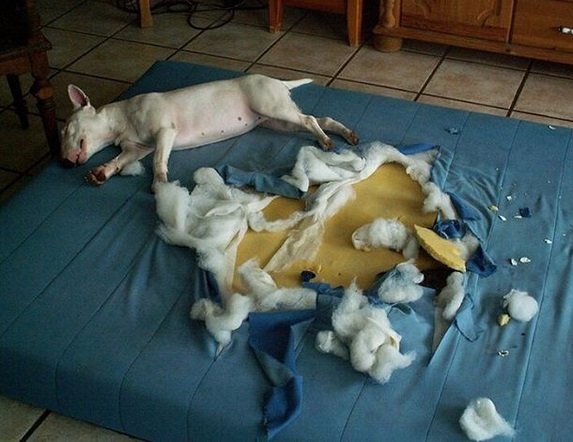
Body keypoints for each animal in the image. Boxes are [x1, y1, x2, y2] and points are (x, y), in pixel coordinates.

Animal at [61, 74, 358, 188]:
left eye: (65, 129)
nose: (63, 164)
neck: (120, 120)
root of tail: (277, 81)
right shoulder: (136, 149)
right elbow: (119, 160)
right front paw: (101, 172)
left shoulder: (164, 132)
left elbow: (158, 159)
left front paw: (159, 183)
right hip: (274, 118)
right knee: (321, 118)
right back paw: (346, 134)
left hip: (272, 106)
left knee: (308, 120)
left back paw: (325, 140)